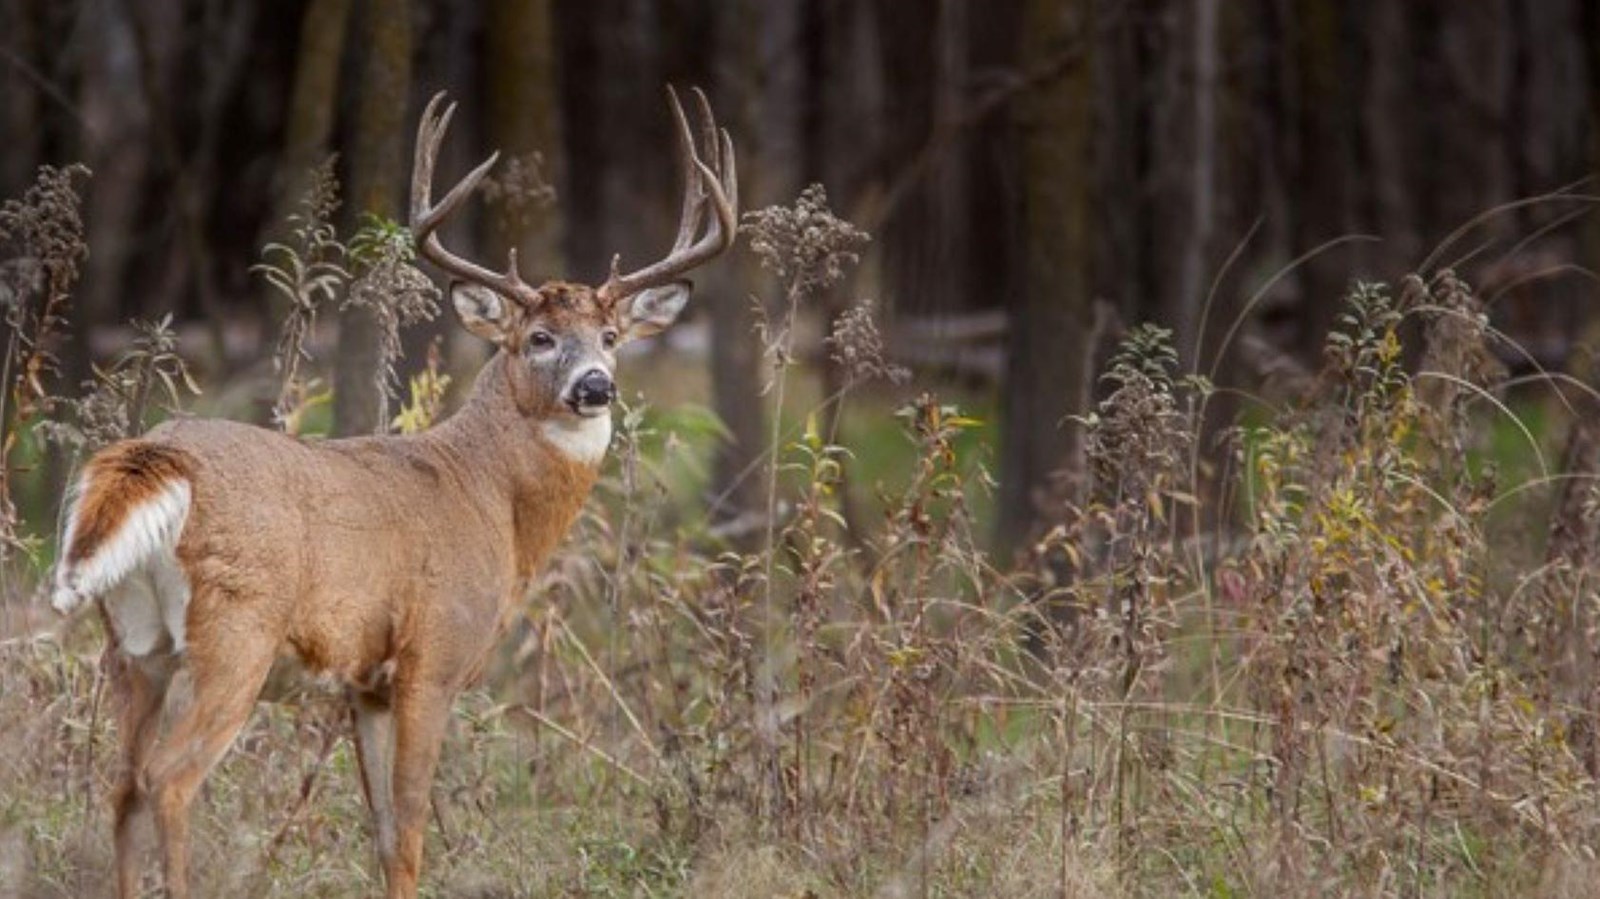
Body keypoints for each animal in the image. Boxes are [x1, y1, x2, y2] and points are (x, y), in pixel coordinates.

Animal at [50, 89, 736, 895]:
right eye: (538, 338)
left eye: (610, 337)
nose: (596, 386)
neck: (489, 497)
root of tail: (154, 454)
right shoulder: (432, 657)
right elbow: (410, 829)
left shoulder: (366, 684)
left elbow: (381, 833)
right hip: (235, 633)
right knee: (169, 780)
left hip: (133, 644)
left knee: (121, 783)